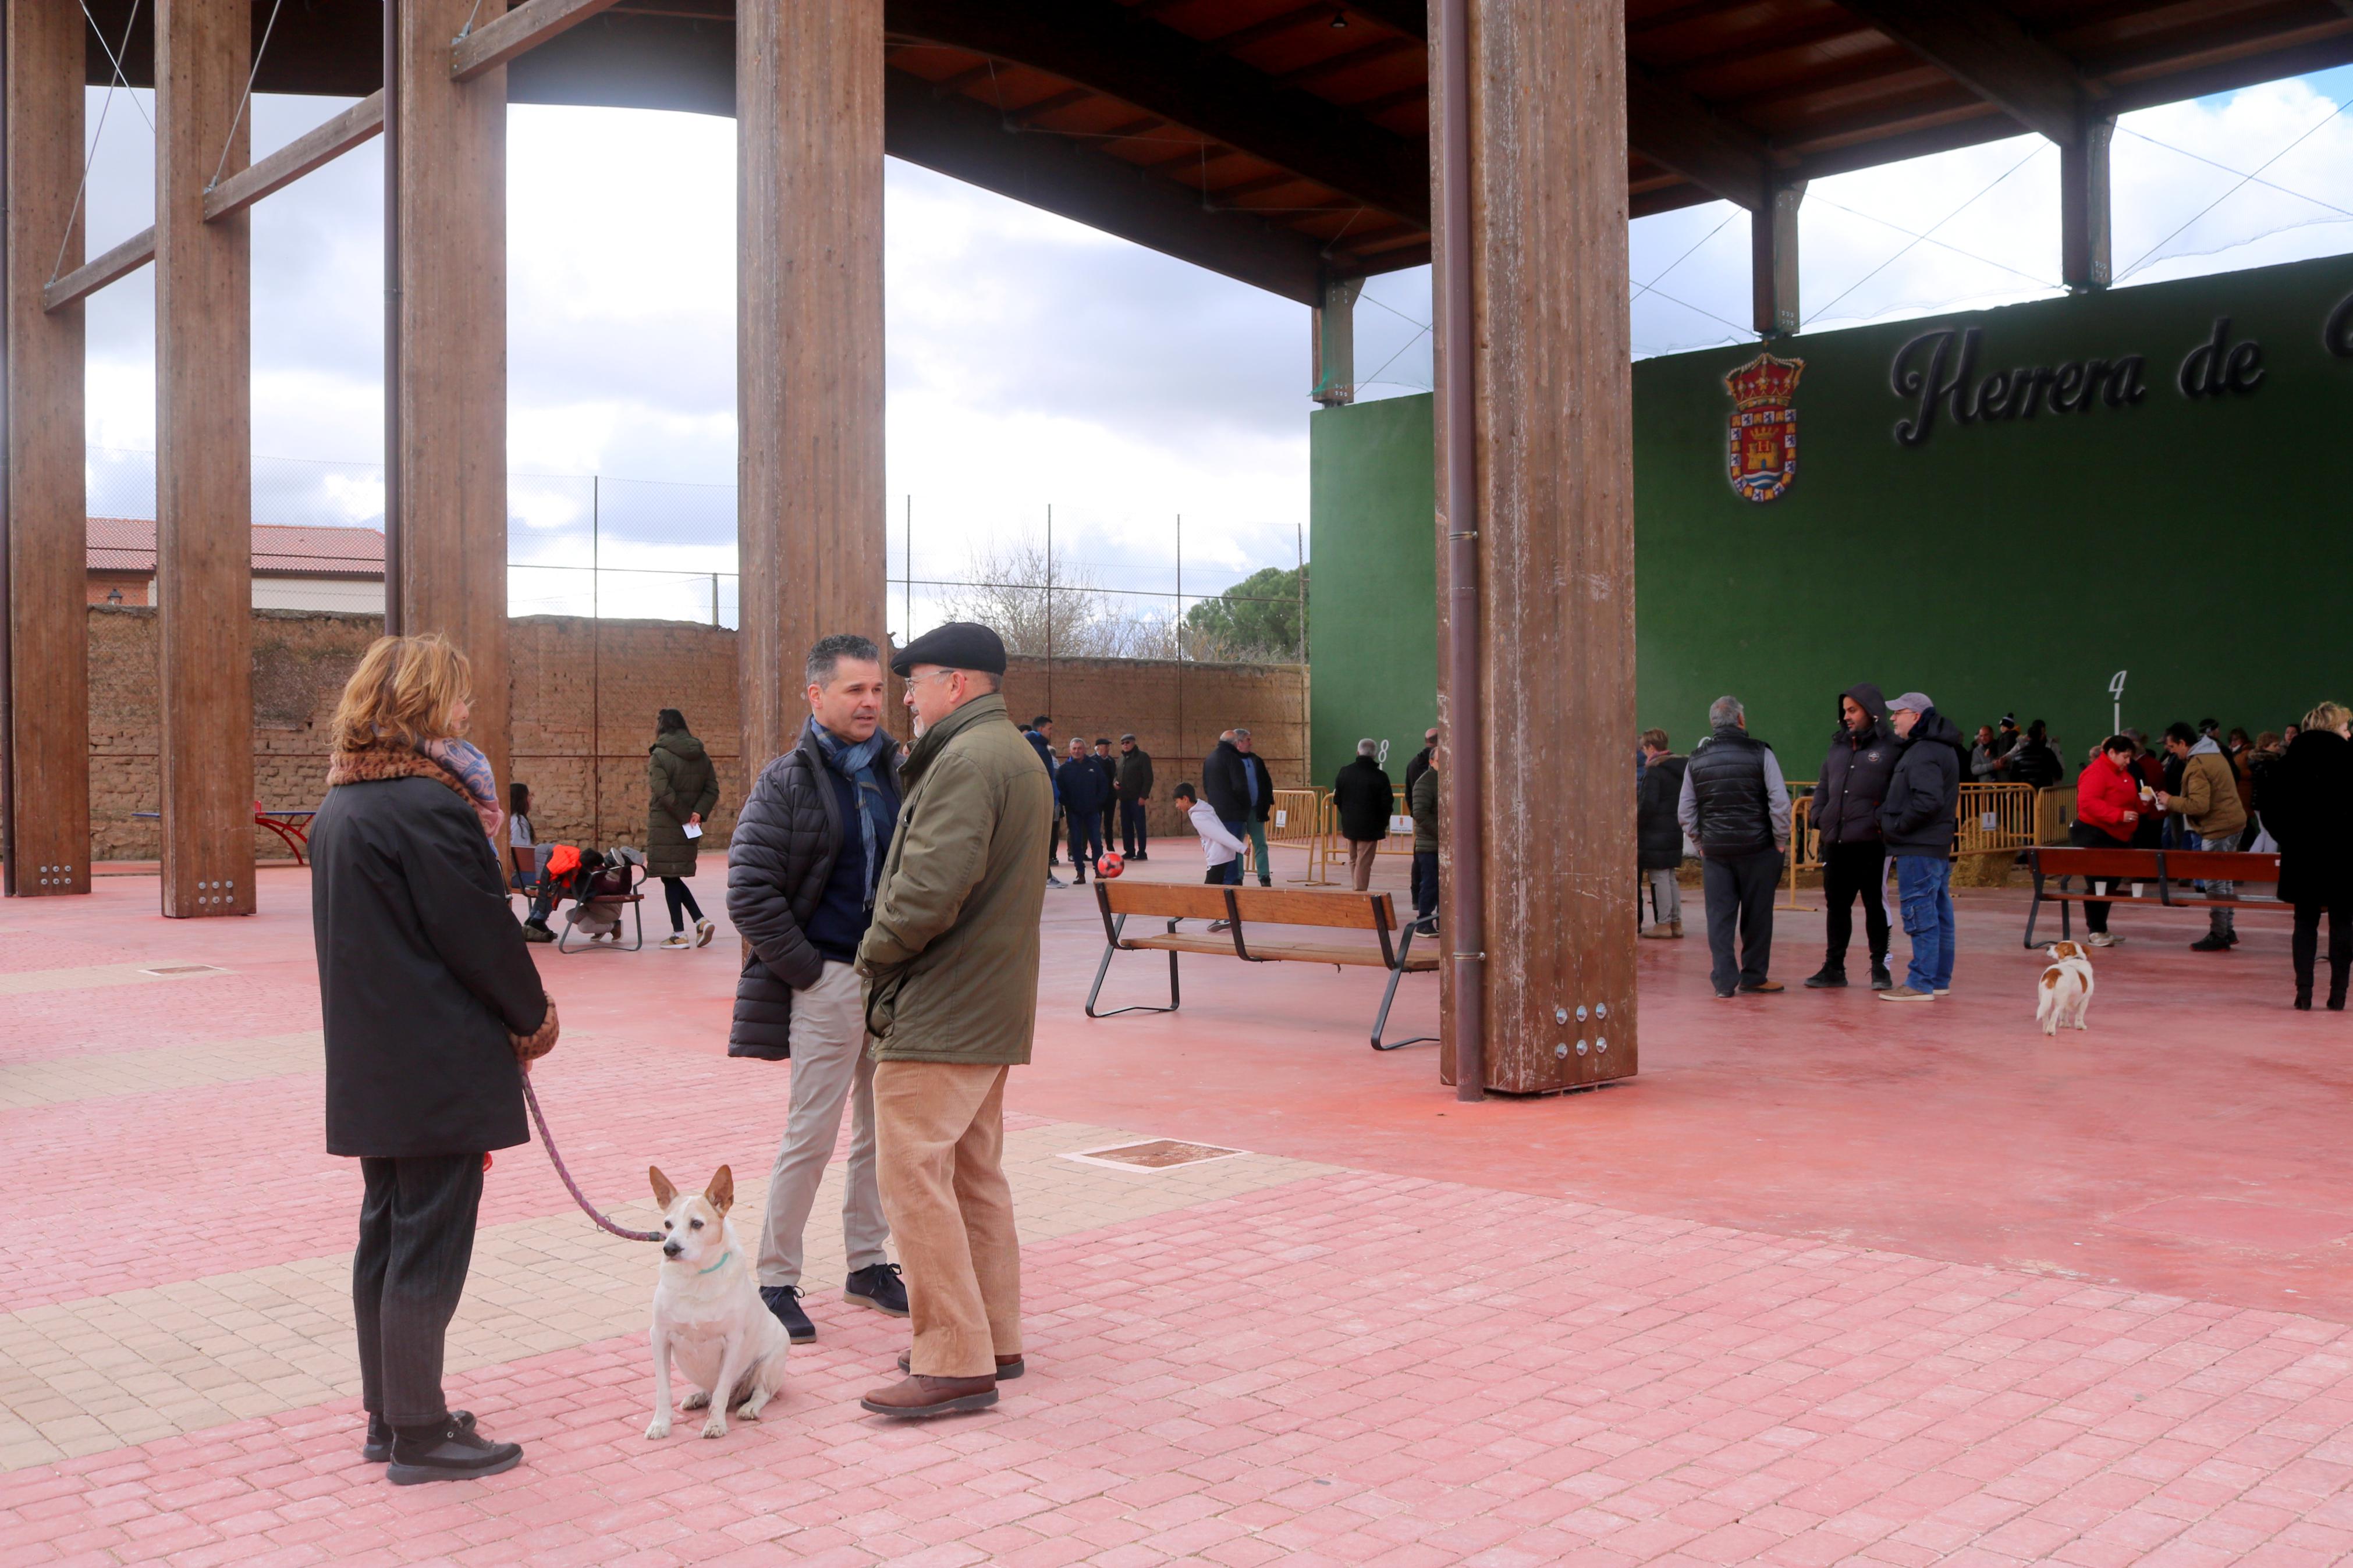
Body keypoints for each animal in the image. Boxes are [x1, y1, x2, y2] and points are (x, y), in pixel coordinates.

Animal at [644, 1161, 790, 1438]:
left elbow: (722, 1391)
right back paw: (698, 1397)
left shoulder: (732, 1342)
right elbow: (662, 1390)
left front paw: (715, 1424)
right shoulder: (660, 1337)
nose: (670, 1248)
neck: (696, 1278)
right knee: (712, 1391)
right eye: (667, 1224)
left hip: (769, 1363)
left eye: (697, 1224)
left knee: (760, 1393)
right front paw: (660, 1424)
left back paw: (749, 1408)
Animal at [2042, 940, 2099, 1034]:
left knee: (2045, 1013)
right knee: (2054, 1014)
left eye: (2057, 947)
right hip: (2060, 1001)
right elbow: (2080, 1015)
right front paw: (2080, 1026)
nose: (2047, 948)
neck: (2075, 958)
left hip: (2045, 998)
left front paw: (2064, 1024)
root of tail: (2055, 972)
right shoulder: (2085, 1000)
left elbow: (2064, 1014)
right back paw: (2051, 1030)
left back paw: (2046, 1028)